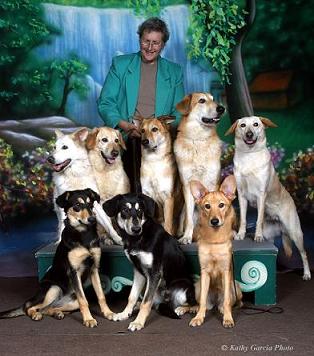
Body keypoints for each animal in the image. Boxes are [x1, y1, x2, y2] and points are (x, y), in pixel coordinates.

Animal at [0, 189, 113, 328]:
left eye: (91, 205)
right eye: (77, 206)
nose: (92, 219)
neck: (83, 234)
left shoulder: (94, 269)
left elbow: (101, 296)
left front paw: (108, 313)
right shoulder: (74, 271)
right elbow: (84, 301)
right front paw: (88, 319)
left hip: (72, 301)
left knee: (48, 308)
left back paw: (57, 313)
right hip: (53, 289)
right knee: (29, 307)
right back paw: (35, 314)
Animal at [103, 193, 196, 332]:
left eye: (140, 210)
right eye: (125, 210)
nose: (136, 229)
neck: (137, 239)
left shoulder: (154, 273)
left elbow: (146, 302)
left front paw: (138, 322)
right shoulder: (138, 272)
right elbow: (132, 296)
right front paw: (124, 313)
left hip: (182, 288)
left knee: (195, 304)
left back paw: (182, 309)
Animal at [174, 93, 226, 245]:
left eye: (213, 99)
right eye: (202, 100)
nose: (222, 108)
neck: (199, 139)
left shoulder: (214, 182)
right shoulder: (187, 185)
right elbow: (189, 220)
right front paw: (186, 237)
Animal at [178, 175, 242, 328]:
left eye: (221, 205)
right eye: (207, 206)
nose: (214, 221)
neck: (214, 242)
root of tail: (213, 303)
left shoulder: (226, 272)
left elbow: (227, 301)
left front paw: (228, 318)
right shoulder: (205, 273)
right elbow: (201, 302)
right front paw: (198, 318)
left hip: (236, 287)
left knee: (227, 302)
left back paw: (222, 309)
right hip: (197, 285)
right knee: (200, 303)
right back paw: (186, 308)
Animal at [226, 117, 312, 280]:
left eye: (256, 124)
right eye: (242, 125)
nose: (249, 134)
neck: (249, 155)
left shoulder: (261, 194)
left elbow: (258, 218)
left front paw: (257, 236)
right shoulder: (241, 195)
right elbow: (244, 219)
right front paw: (241, 234)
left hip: (295, 232)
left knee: (304, 254)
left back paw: (306, 273)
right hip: (272, 235)